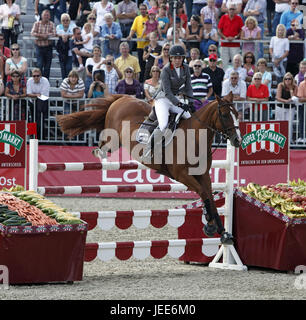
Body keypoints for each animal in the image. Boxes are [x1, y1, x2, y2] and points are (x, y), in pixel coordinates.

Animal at [56, 92, 240, 245]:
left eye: (237, 115)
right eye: (225, 115)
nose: (237, 141)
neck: (194, 138)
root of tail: (123, 98)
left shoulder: (203, 175)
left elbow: (210, 197)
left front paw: (223, 233)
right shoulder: (182, 175)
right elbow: (204, 194)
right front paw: (210, 225)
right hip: (113, 139)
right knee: (103, 145)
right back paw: (99, 154)